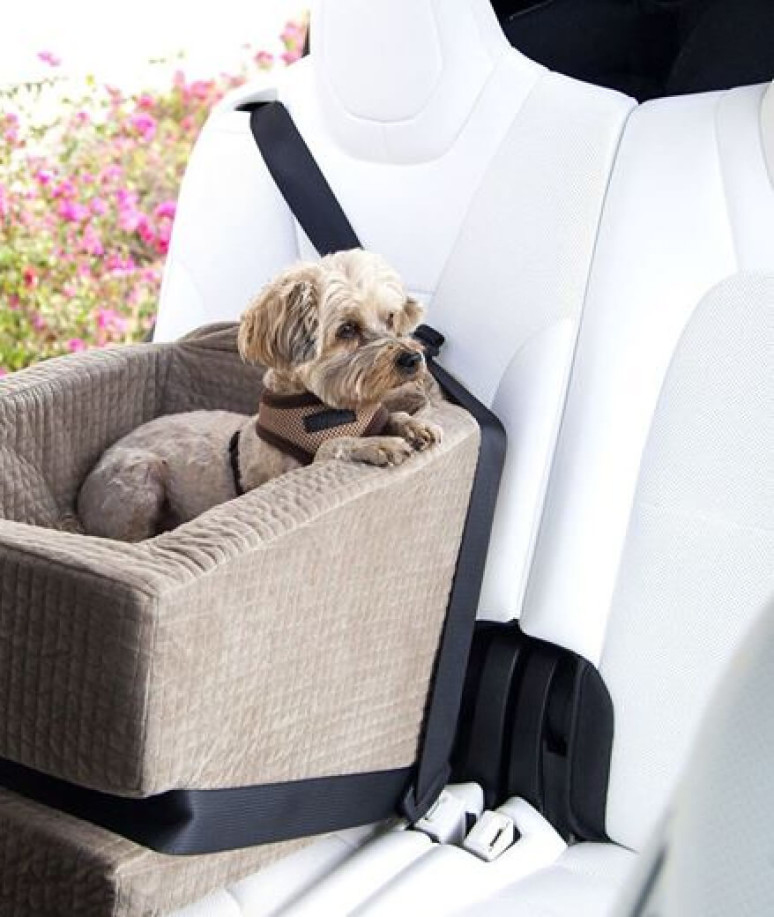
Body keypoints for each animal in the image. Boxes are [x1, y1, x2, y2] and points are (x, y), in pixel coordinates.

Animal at [80, 247, 442, 540]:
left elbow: (395, 415)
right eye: (347, 329)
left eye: (390, 317)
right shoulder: (278, 475)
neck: (329, 407)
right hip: (140, 475)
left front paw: (413, 425)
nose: (412, 359)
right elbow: (332, 445)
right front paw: (376, 445)